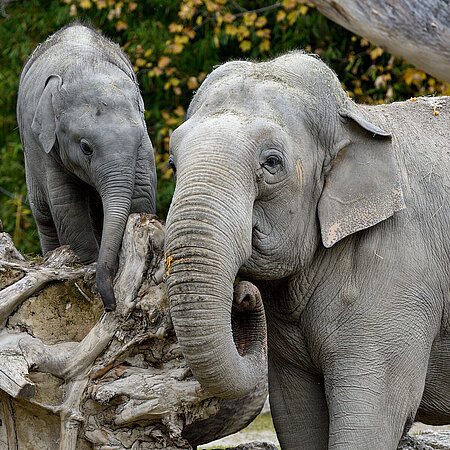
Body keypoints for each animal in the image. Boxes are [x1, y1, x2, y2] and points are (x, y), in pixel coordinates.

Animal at [17, 22, 156, 312]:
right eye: (85, 147)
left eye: (138, 141)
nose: (111, 305)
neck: (88, 69)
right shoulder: (46, 147)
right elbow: (67, 203)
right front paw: (88, 265)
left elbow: (141, 191)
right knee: (44, 215)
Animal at [164, 51, 450, 448]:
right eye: (173, 163)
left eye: (272, 162)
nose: (244, 297)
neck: (357, 115)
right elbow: (296, 413)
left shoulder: (401, 276)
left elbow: (373, 416)